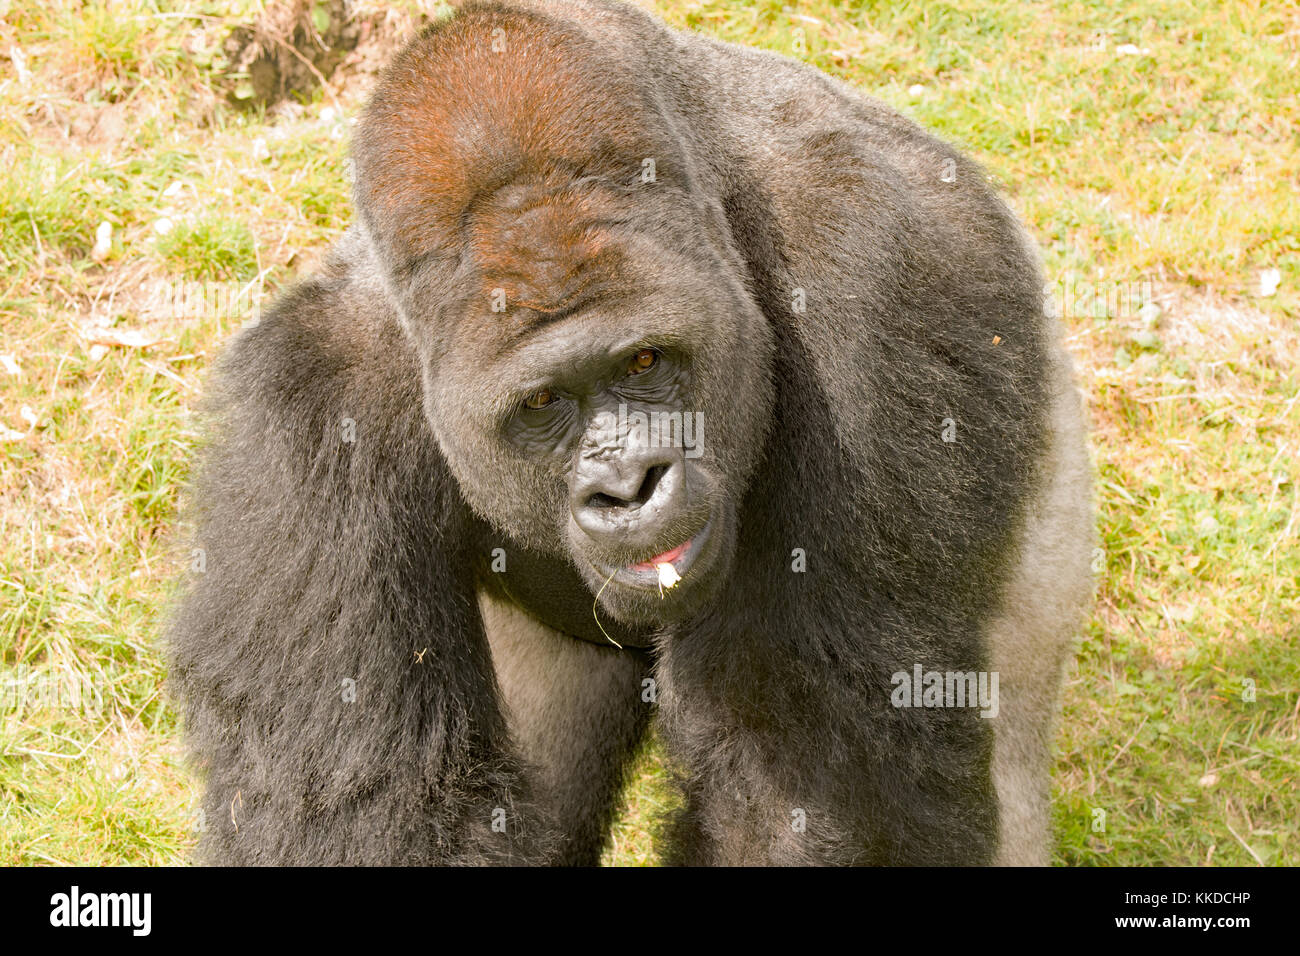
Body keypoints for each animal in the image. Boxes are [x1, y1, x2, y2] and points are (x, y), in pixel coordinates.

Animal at [167, 0, 1092, 868]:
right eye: (542, 404)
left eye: (646, 360)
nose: (627, 487)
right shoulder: (304, 407)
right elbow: (370, 811)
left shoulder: (875, 280)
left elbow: (807, 774)